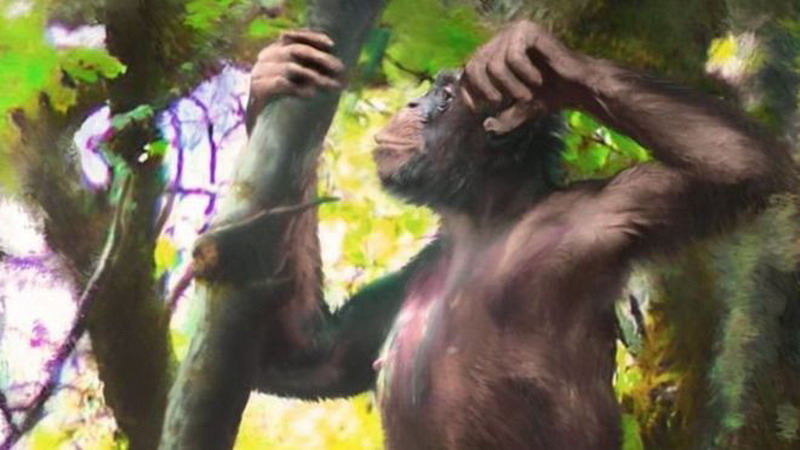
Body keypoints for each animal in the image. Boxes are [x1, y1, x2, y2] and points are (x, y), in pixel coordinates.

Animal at [245, 22, 794, 449]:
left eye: (446, 96)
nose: (414, 101)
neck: (486, 220)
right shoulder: (413, 274)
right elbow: (310, 355)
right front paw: (273, 76)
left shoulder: (610, 211)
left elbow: (741, 167)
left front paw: (546, 62)